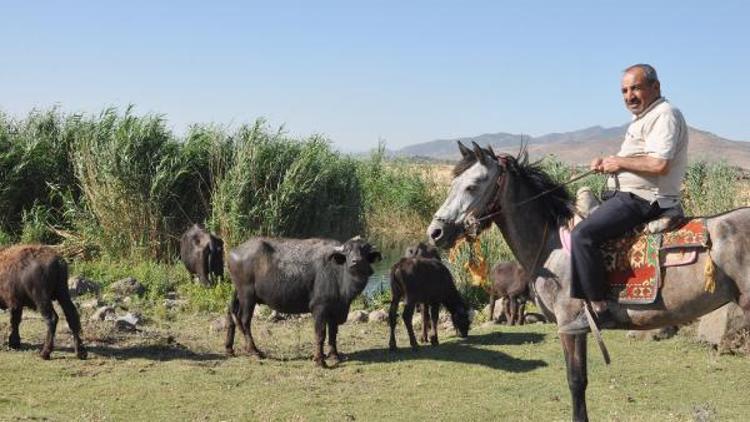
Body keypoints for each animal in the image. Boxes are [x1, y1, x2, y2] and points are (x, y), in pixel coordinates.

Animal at [225, 234, 382, 366]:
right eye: (348, 250)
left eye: (364, 251)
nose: (356, 262)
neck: (340, 277)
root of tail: (233, 252)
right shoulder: (319, 308)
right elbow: (320, 334)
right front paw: (320, 361)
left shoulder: (335, 310)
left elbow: (333, 333)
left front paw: (334, 355)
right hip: (247, 296)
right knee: (244, 321)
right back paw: (254, 351)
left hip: (239, 294)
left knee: (232, 314)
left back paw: (230, 349)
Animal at [428, 142, 750, 422]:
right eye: (453, 183)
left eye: (472, 185)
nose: (435, 232)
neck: (551, 245)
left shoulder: (570, 324)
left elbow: (576, 381)